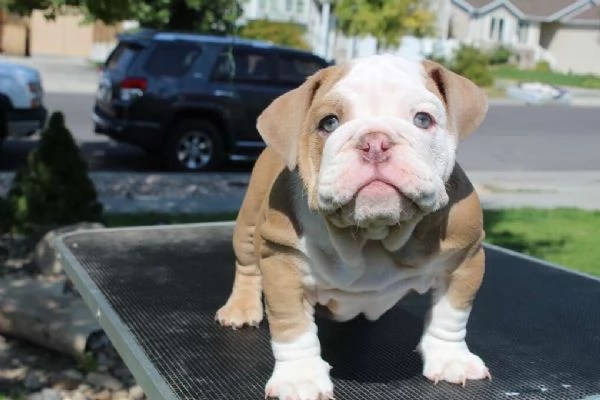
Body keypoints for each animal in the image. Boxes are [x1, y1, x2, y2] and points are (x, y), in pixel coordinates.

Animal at [217, 54, 492, 400]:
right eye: (329, 123)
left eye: (423, 119)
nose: (375, 142)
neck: (373, 234)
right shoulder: (282, 263)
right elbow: (292, 326)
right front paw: (300, 378)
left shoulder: (464, 258)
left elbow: (451, 314)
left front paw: (450, 359)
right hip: (249, 225)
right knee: (247, 266)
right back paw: (240, 309)